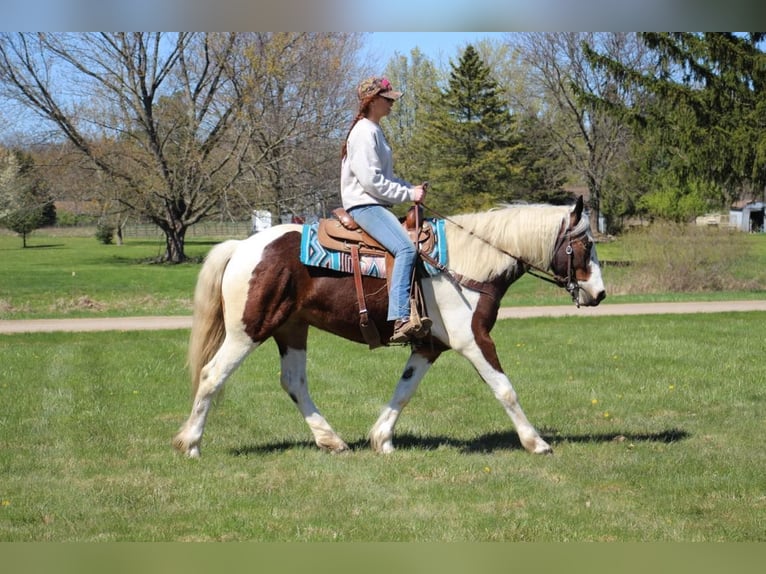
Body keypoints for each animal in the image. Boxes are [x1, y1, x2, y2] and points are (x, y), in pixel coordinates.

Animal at [172, 197, 608, 460]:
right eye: (586, 245)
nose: (600, 293)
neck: (470, 262)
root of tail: (242, 247)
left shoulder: (428, 345)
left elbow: (405, 389)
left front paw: (381, 438)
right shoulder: (473, 340)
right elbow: (505, 389)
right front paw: (537, 442)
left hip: (292, 329)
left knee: (294, 382)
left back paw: (331, 440)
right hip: (248, 330)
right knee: (212, 375)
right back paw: (191, 444)